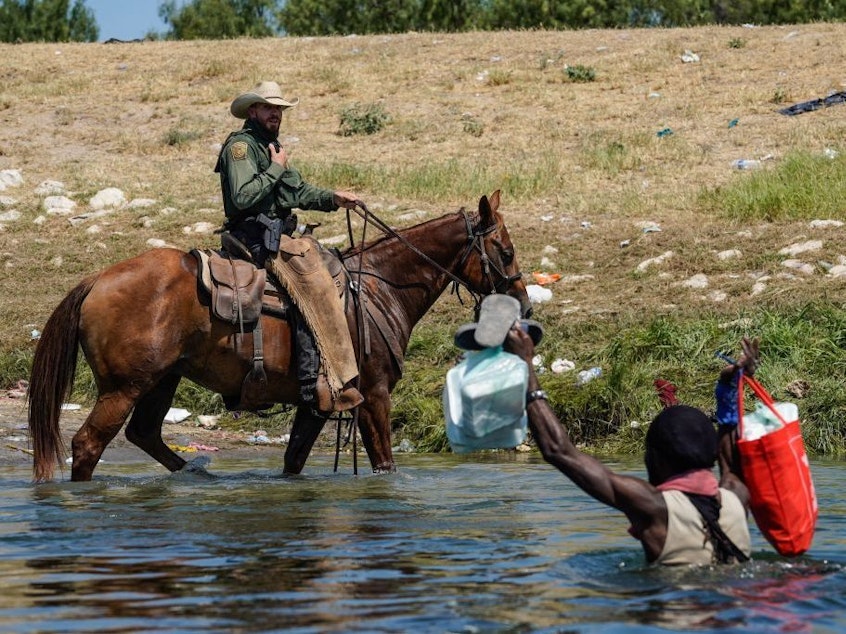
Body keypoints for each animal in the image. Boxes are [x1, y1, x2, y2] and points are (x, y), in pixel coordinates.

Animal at [28, 190, 528, 482]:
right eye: (505, 251)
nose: (524, 305)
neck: (379, 287)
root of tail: (96, 279)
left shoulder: (318, 405)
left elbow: (294, 461)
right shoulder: (374, 395)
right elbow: (384, 464)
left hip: (161, 381)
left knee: (145, 434)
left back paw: (197, 475)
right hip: (123, 388)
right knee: (87, 445)